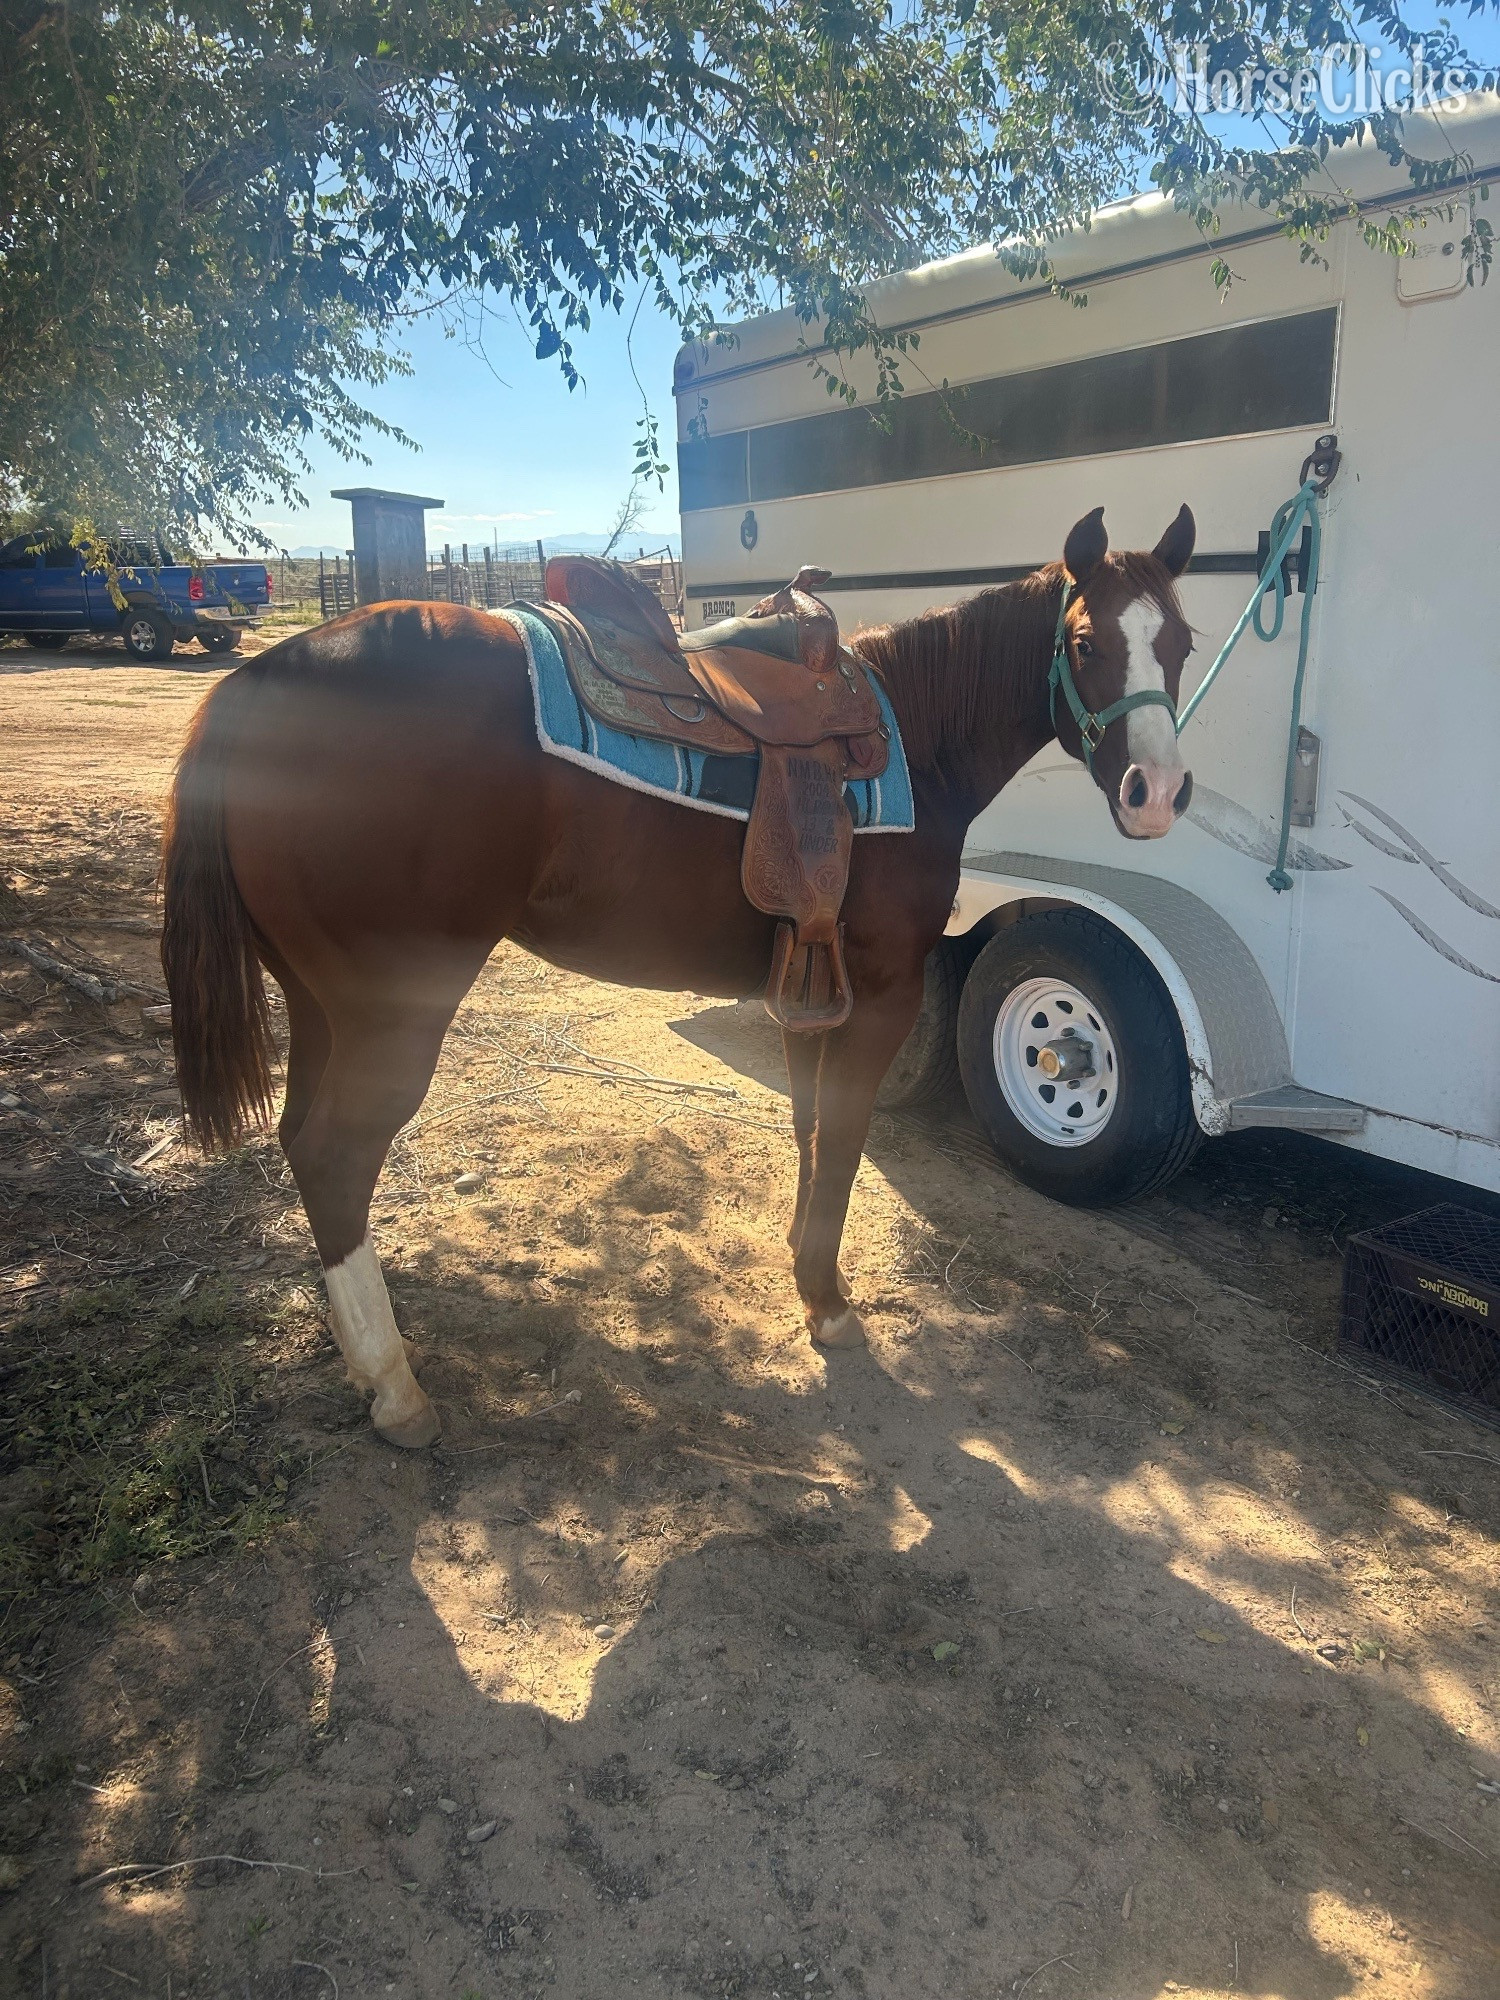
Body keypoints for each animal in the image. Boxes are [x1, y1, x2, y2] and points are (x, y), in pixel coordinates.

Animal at [160, 503, 1197, 1448]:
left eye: (1182, 641)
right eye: (1086, 641)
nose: (1154, 796)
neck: (916, 737)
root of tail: (257, 685)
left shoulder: (813, 993)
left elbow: (811, 1131)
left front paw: (807, 1273)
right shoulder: (881, 994)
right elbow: (844, 1140)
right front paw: (829, 1306)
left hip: (318, 1002)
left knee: (302, 1143)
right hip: (393, 1009)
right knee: (338, 1156)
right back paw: (394, 1384)